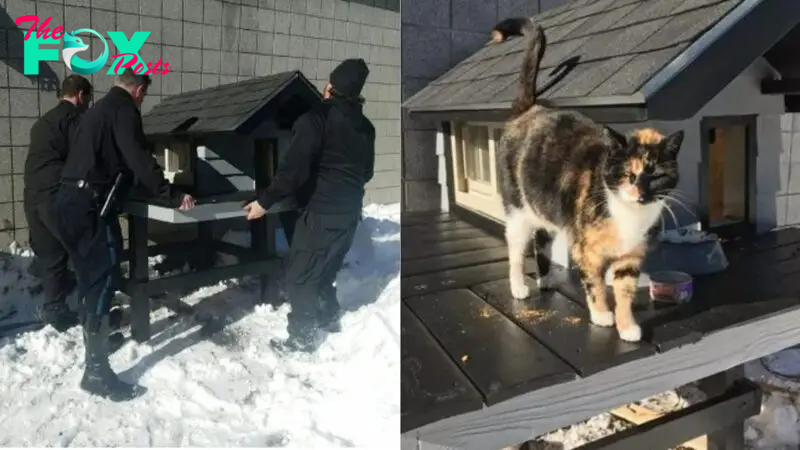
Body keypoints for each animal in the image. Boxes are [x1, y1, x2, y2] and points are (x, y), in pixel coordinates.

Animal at [494, 17, 688, 342]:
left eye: (657, 176)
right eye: (628, 174)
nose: (640, 193)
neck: (628, 216)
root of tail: (529, 109)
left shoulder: (629, 258)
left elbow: (624, 291)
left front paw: (627, 326)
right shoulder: (586, 250)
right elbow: (595, 284)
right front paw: (601, 316)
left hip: (545, 209)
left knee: (541, 240)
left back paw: (546, 280)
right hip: (518, 210)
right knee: (516, 248)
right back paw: (519, 286)